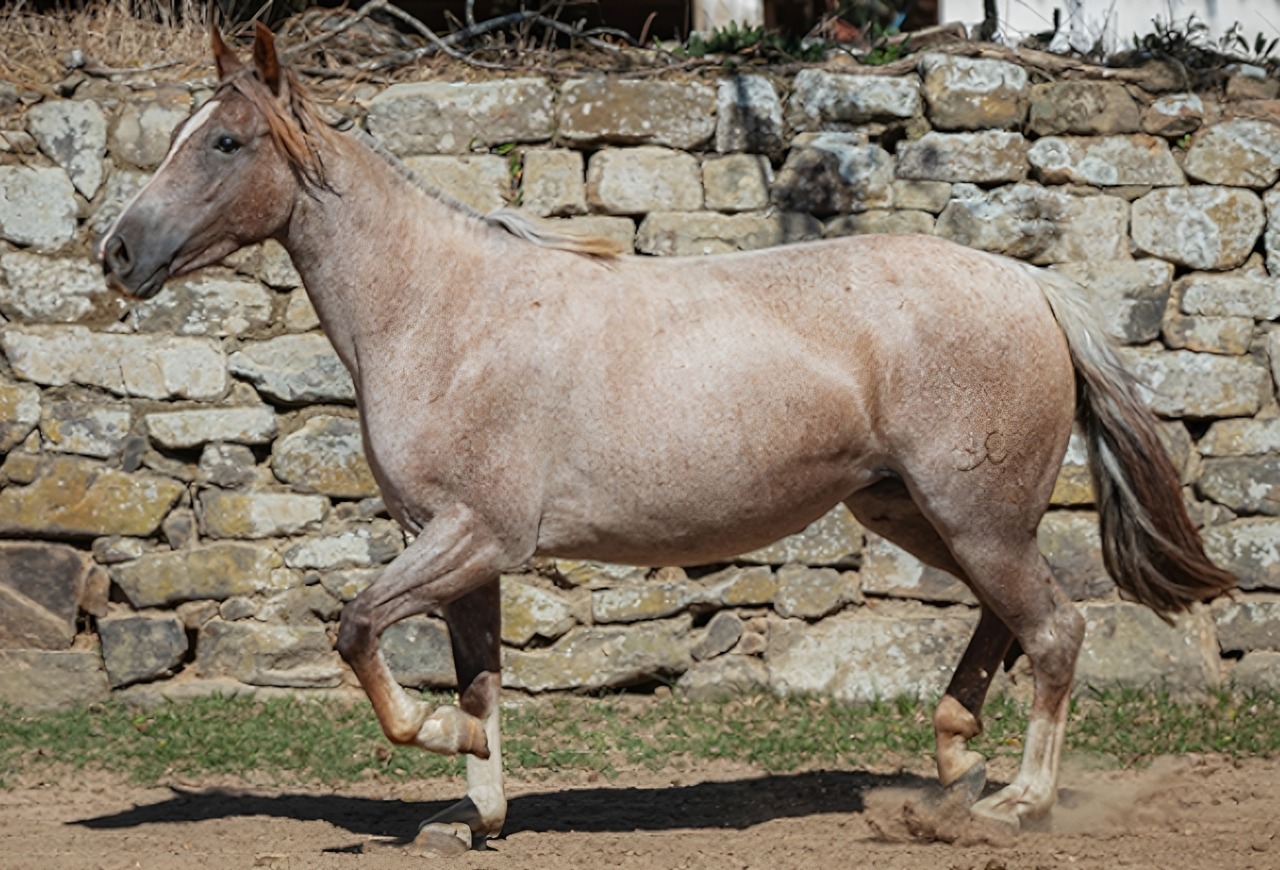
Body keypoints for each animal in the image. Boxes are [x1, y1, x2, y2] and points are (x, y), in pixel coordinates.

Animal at [102, 25, 1239, 849]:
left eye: (225, 142)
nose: (116, 253)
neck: (442, 314)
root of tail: (1028, 284)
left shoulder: (477, 536)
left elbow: (357, 632)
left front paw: (430, 740)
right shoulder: (462, 553)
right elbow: (476, 678)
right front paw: (473, 815)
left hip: (973, 514)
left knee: (1053, 631)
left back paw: (1016, 804)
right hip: (918, 513)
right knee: (1008, 621)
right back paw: (956, 764)